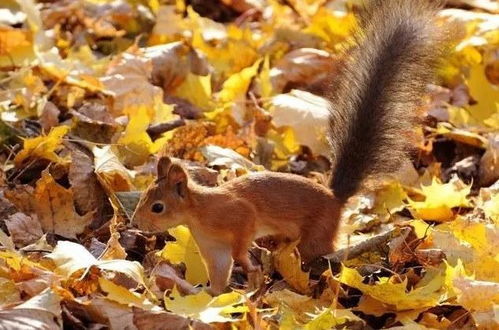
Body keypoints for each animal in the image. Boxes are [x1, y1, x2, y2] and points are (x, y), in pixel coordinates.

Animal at [133, 0, 446, 296]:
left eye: (158, 207)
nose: (136, 223)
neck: (199, 212)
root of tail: (335, 199)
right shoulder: (213, 247)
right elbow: (219, 273)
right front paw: (208, 294)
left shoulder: (238, 215)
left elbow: (241, 242)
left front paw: (247, 266)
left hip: (316, 234)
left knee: (322, 255)